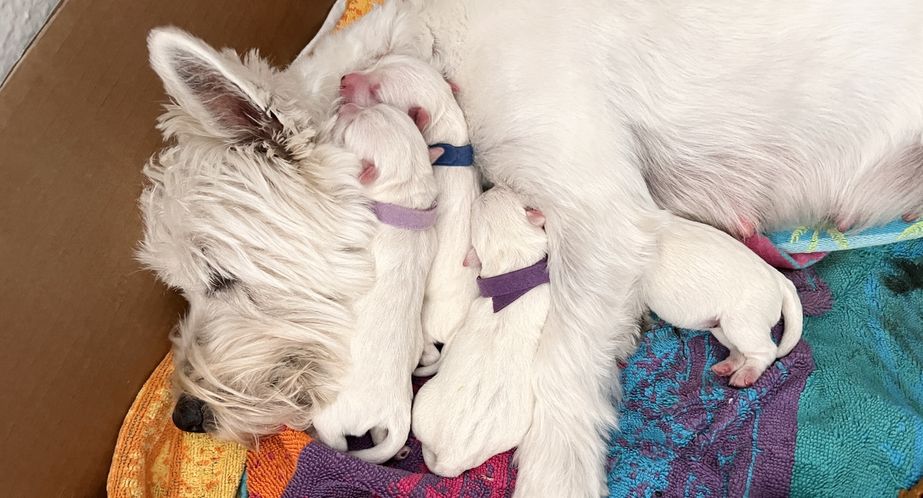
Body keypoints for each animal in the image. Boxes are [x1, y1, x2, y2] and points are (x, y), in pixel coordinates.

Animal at [311, 102, 438, 463]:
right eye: (379, 107)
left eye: (348, 127)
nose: (347, 104)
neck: (405, 202)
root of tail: (395, 416)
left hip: (330, 416)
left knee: (337, 443)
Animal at [642, 214, 803, 387]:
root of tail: (780, 279)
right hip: (721, 328)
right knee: (739, 353)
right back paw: (727, 366)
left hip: (742, 325)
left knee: (766, 351)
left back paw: (747, 374)